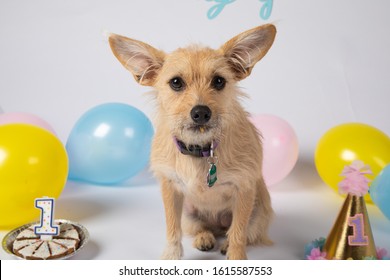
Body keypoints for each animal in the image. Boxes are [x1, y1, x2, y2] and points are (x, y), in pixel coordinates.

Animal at [108, 24, 276, 260]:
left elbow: (238, 233)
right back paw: (204, 237)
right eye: (176, 82)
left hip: (259, 211)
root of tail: (218, 225)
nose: (201, 113)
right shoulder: (170, 189)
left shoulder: (244, 189)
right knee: (202, 228)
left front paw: (236, 257)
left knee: (237, 232)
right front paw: (171, 256)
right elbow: (172, 228)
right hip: (189, 214)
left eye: (219, 81)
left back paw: (224, 243)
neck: (201, 149)